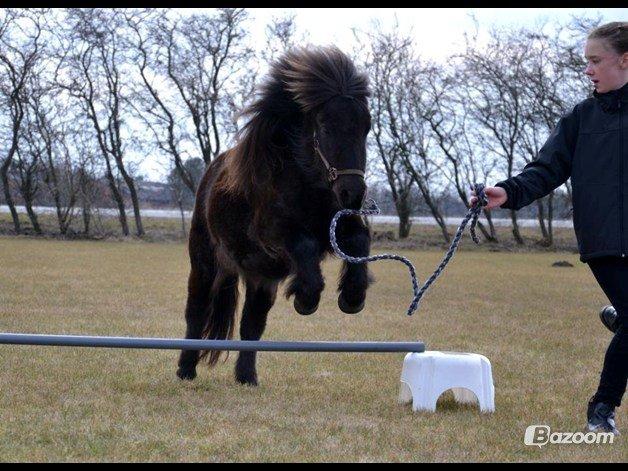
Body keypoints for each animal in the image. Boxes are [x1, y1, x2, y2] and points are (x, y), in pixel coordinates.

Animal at [177, 46, 372, 388]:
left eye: (367, 127)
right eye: (325, 126)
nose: (353, 194)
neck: (309, 184)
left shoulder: (339, 227)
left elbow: (360, 240)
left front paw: (352, 296)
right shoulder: (274, 236)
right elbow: (305, 247)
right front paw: (306, 299)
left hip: (261, 279)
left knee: (251, 326)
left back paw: (247, 377)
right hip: (205, 264)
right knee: (197, 312)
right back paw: (186, 369)